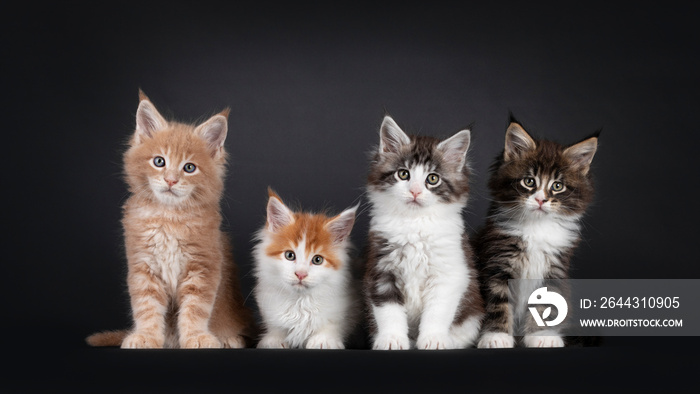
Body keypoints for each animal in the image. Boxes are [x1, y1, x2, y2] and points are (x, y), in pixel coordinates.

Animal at [364, 115, 484, 350]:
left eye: (433, 179)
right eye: (403, 174)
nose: (415, 191)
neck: (414, 224)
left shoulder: (449, 273)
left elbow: (437, 312)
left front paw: (434, 339)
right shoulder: (381, 270)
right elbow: (389, 312)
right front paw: (392, 339)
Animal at [478, 118, 600, 346]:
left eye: (558, 186)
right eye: (529, 182)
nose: (541, 200)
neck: (536, 227)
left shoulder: (555, 267)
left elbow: (547, 306)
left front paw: (542, 336)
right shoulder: (497, 263)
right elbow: (498, 303)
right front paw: (496, 336)